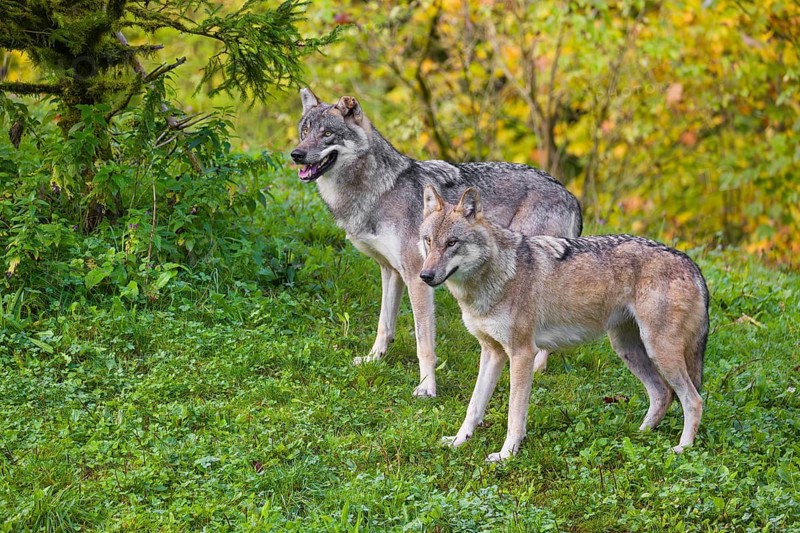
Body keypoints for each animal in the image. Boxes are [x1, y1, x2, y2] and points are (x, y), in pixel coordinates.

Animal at [291, 88, 582, 397]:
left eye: (327, 134)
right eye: (305, 131)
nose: (296, 154)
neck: (381, 189)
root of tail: (570, 195)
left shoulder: (417, 278)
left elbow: (424, 343)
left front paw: (427, 386)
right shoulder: (391, 272)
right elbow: (384, 325)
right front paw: (373, 359)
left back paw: (535, 370)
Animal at [419, 186, 709, 461]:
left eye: (452, 243)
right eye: (429, 241)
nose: (425, 275)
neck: (497, 274)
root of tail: (692, 264)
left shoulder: (522, 354)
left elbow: (514, 414)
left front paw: (506, 454)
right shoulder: (492, 352)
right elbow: (474, 405)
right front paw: (459, 441)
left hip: (659, 350)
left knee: (693, 399)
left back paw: (683, 448)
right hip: (628, 349)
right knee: (662, 394)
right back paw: (639, 435)